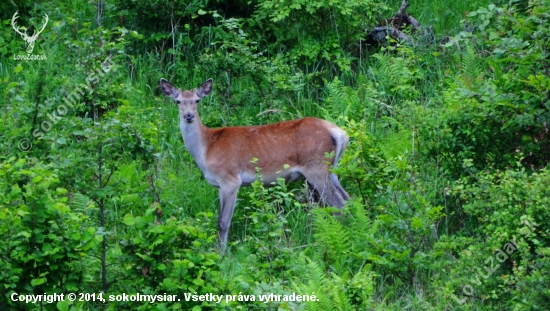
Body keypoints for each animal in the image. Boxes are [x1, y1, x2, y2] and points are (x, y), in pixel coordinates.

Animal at [160, 79, 352, 252]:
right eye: (178, 101)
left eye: (197, 100)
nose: (189, 116)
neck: (206, 150)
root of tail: (341, 133)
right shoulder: (219, 185)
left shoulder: (230, 179)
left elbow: (223, 222)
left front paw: (222, 255)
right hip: (331, 169)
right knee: (348, 199)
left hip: (317, 168)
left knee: (339, 204)